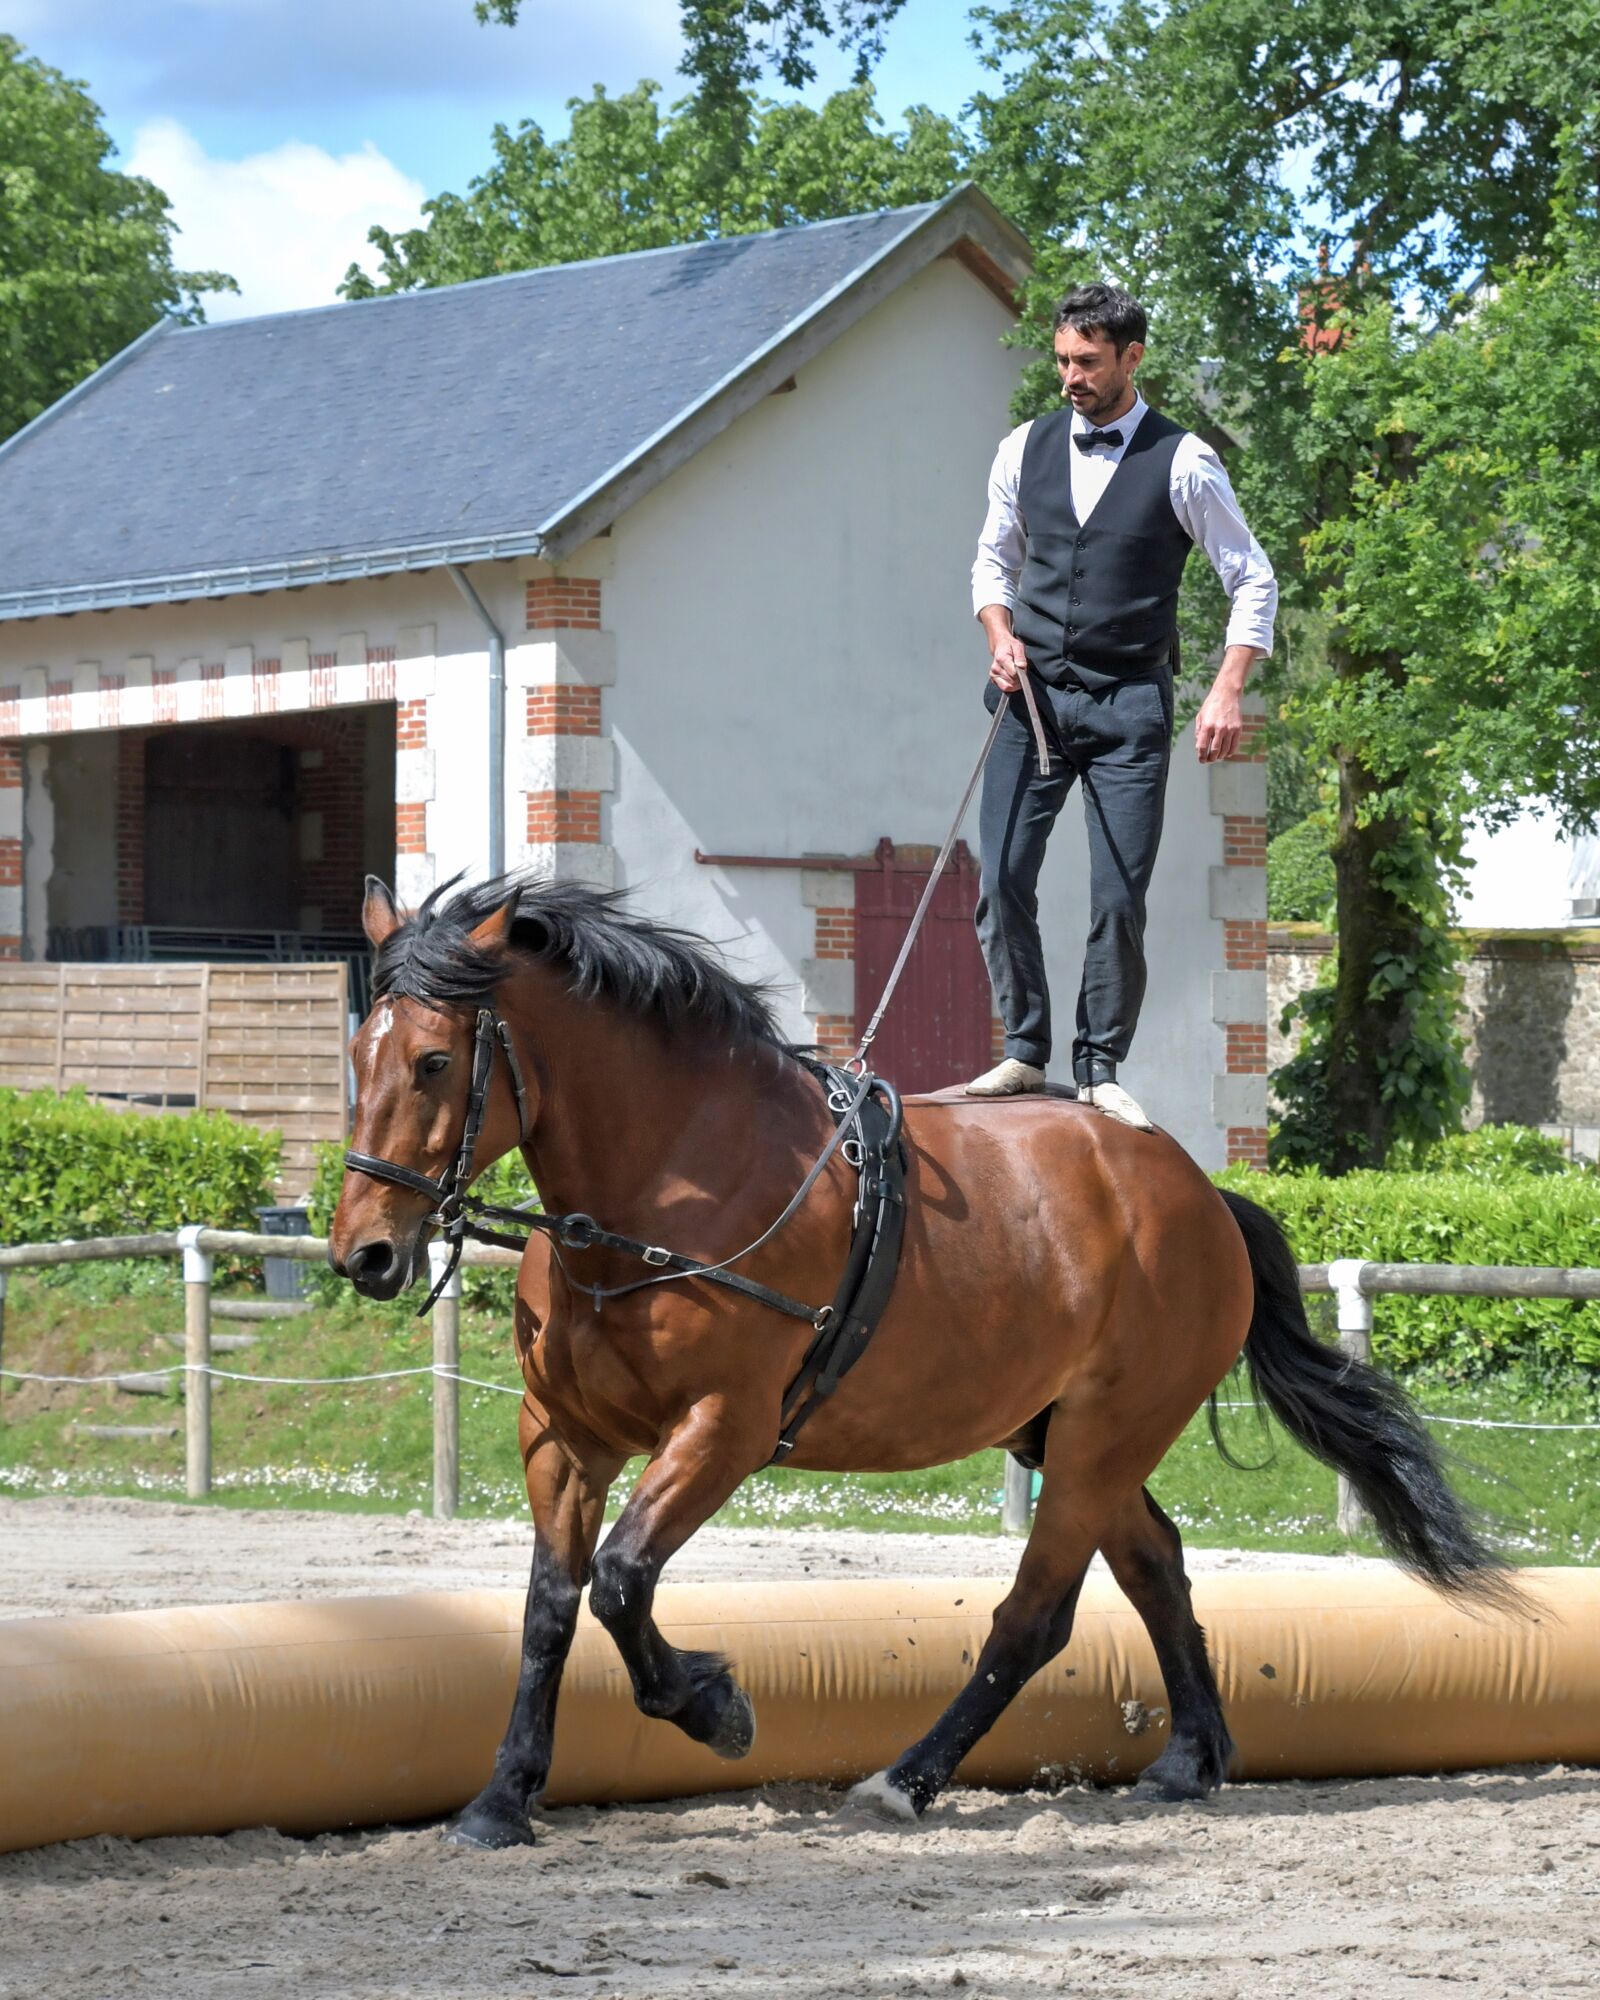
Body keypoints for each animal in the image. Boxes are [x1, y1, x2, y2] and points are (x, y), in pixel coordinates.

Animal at [329, 872, 1515, 1847]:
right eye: (357, 1057)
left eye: (434, 1061)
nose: (364, 1253)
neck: (662, 1186)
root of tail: (1201, 1195)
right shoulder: (562, 1437)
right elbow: (551, 1608)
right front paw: (502, 1799)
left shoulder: (723, 1426)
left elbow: (621, 1582)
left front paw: (715, 1705)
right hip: (1069, 1437)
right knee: (1155, 1566)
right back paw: (1189, 1757)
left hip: (1100, 1436)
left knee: (1035, 1614)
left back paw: (907, 1779)